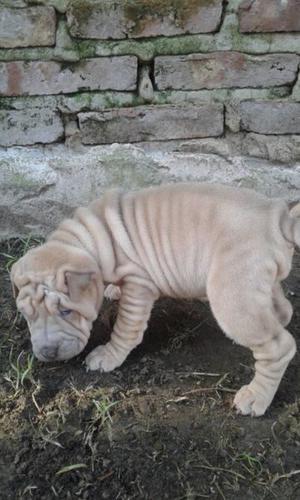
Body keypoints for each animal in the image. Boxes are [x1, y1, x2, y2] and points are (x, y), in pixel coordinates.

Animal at [10, 182, 298, 416]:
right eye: (26, 315)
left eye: (66, 312)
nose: (47, 352)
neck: (94, 238)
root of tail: (278, 216)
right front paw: (112, 289)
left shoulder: (139, 284)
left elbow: (125, 328)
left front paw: (108, 356)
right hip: (255, 283)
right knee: (282, 308)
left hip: (232, 294)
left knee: (279, 346)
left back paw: (256, 396)